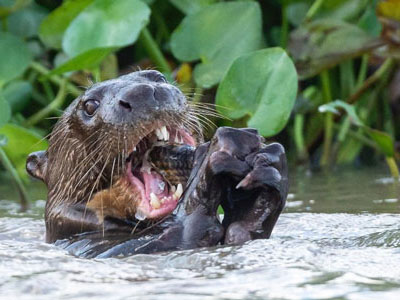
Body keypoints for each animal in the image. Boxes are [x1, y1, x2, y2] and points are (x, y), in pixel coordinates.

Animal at [25, 70, 288, 258]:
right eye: (89, 105)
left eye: (158, 77)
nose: (143, 92)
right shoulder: (93, 248)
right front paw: (214, 157)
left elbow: (239, 232)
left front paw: (267, 172)